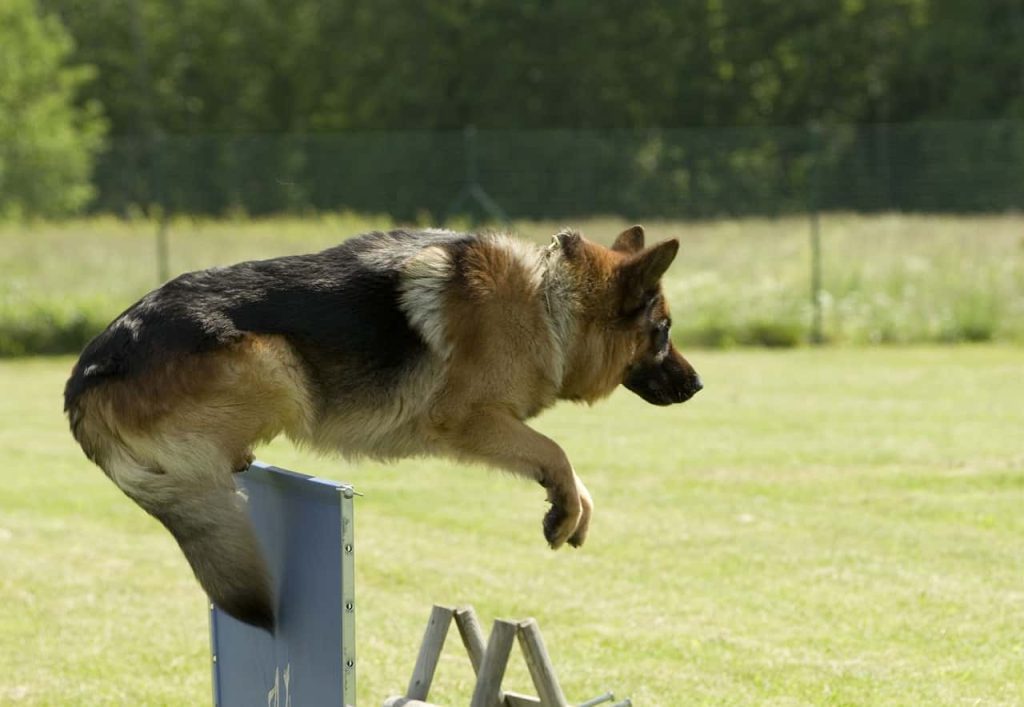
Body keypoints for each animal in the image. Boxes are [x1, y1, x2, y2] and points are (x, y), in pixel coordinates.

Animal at [64, 224, 700, 627]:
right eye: (664, 331)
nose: (697, 387)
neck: (549, 300)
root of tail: (85, 376)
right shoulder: (468, 419)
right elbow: (555, 450)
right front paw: (565, 509)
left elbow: (567, 467)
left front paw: (574, 508)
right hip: (277, 364)